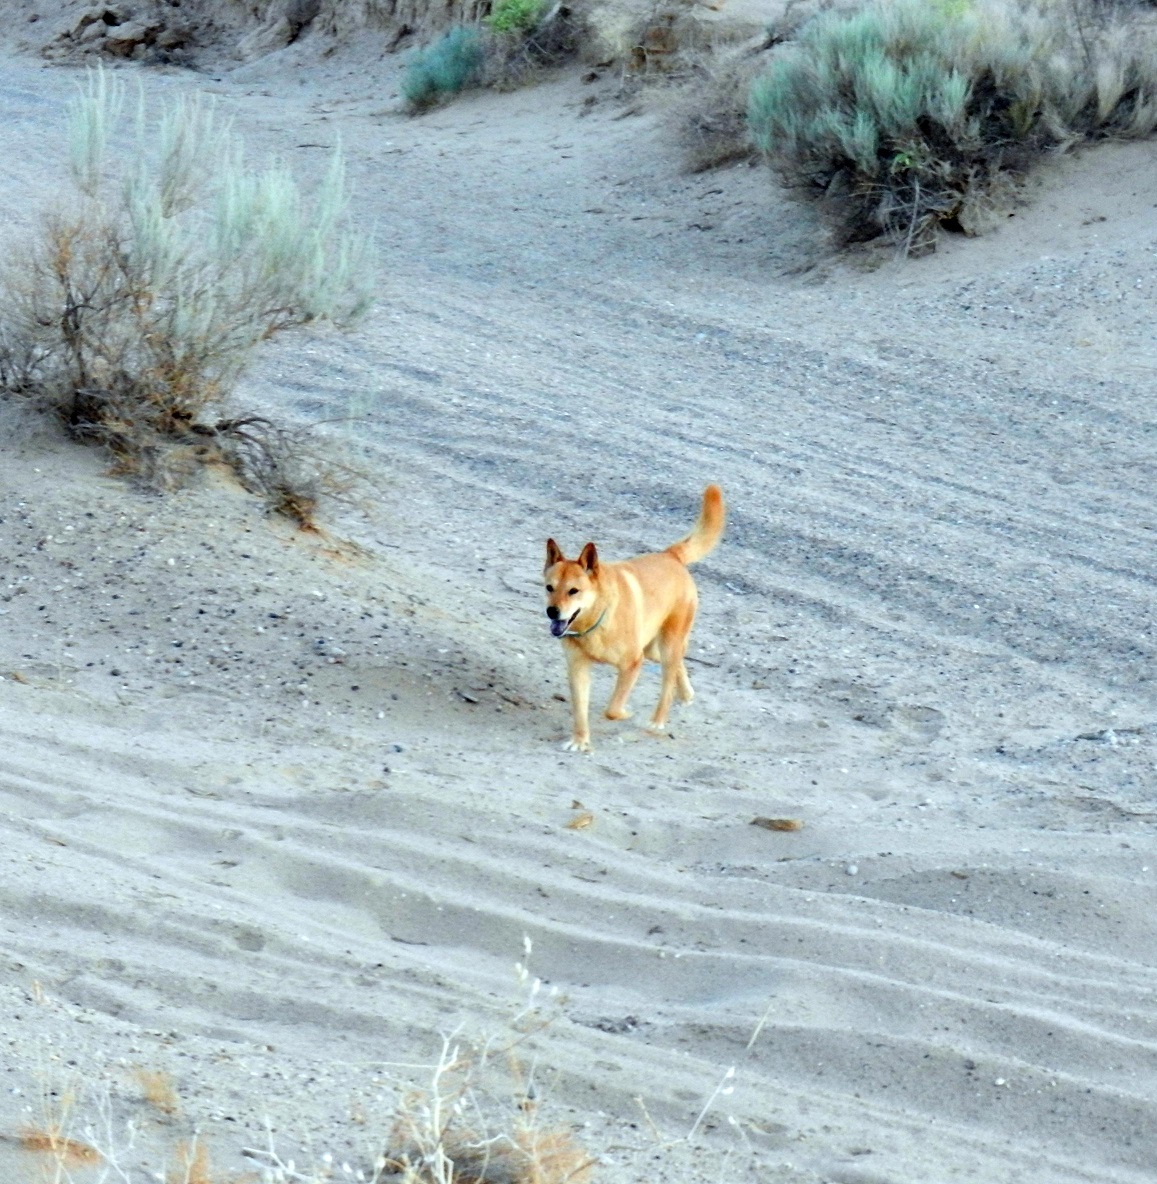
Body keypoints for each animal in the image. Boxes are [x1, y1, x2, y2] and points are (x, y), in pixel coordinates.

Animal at [542, 485, 720, 753]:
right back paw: (687, 694)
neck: (596, 621)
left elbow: (613, 709)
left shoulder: (633, 663)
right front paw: (580, 741)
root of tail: (671, 555)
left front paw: (627, 714)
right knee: (679, 664)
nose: (552, 612)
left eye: (574, 591)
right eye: (549, 588)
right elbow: (580, 711)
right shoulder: (578, 668)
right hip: (654, 649)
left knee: (668, 684)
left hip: (666, 646)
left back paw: (657, 721)